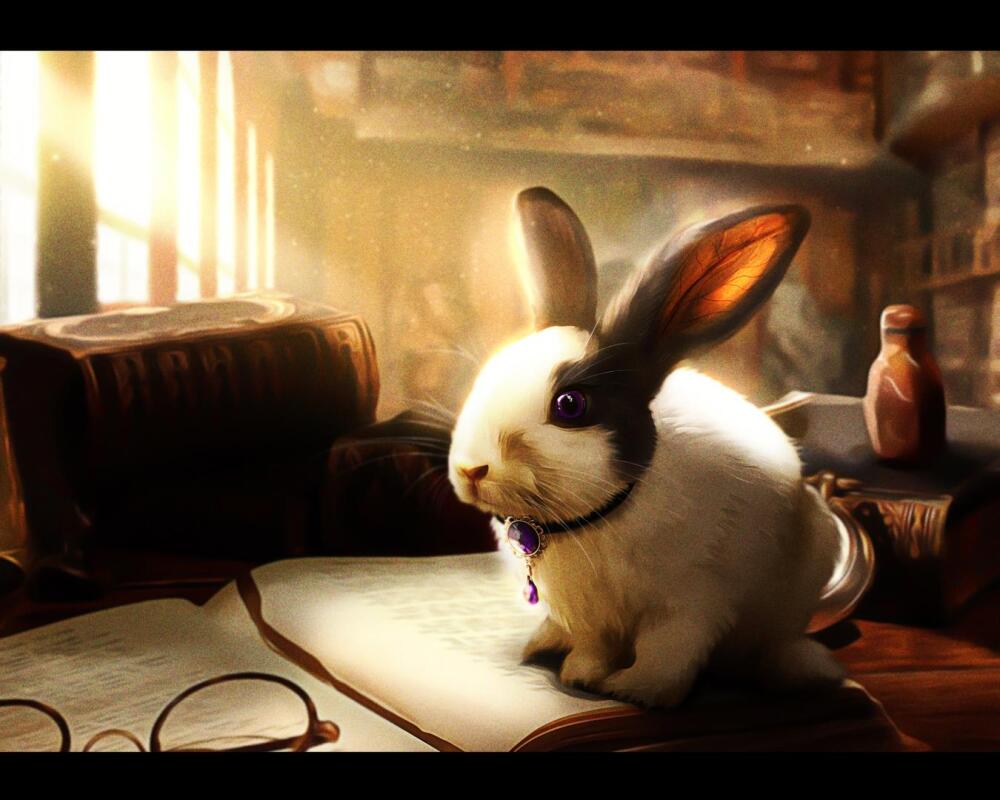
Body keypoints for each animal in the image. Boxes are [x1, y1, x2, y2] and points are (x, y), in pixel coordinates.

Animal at [447, 187, 846, 710]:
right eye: (488, 373)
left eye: (570, 405)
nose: (472, 470)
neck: (599, 515)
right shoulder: (590, 617)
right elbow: (592, 648)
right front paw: (580, 676)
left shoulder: (691, 602)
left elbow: (667, 652)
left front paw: (635, 692)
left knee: (776, 645)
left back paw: (810, 671)